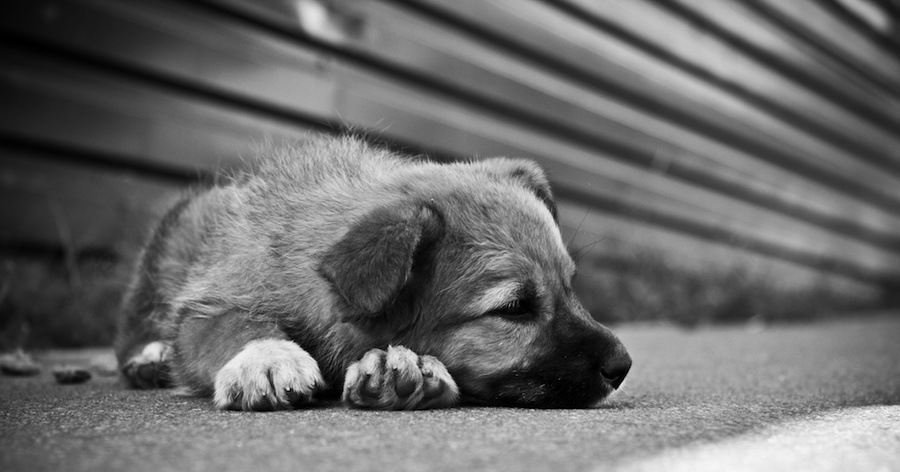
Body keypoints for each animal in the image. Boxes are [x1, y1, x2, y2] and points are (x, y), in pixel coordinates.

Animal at [114, 134, 632, 410]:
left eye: (570, 287)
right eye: (515, 308)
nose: (623, 366)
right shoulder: (211, 300)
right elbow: (229, 324)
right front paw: (265, 357)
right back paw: (150, 358)